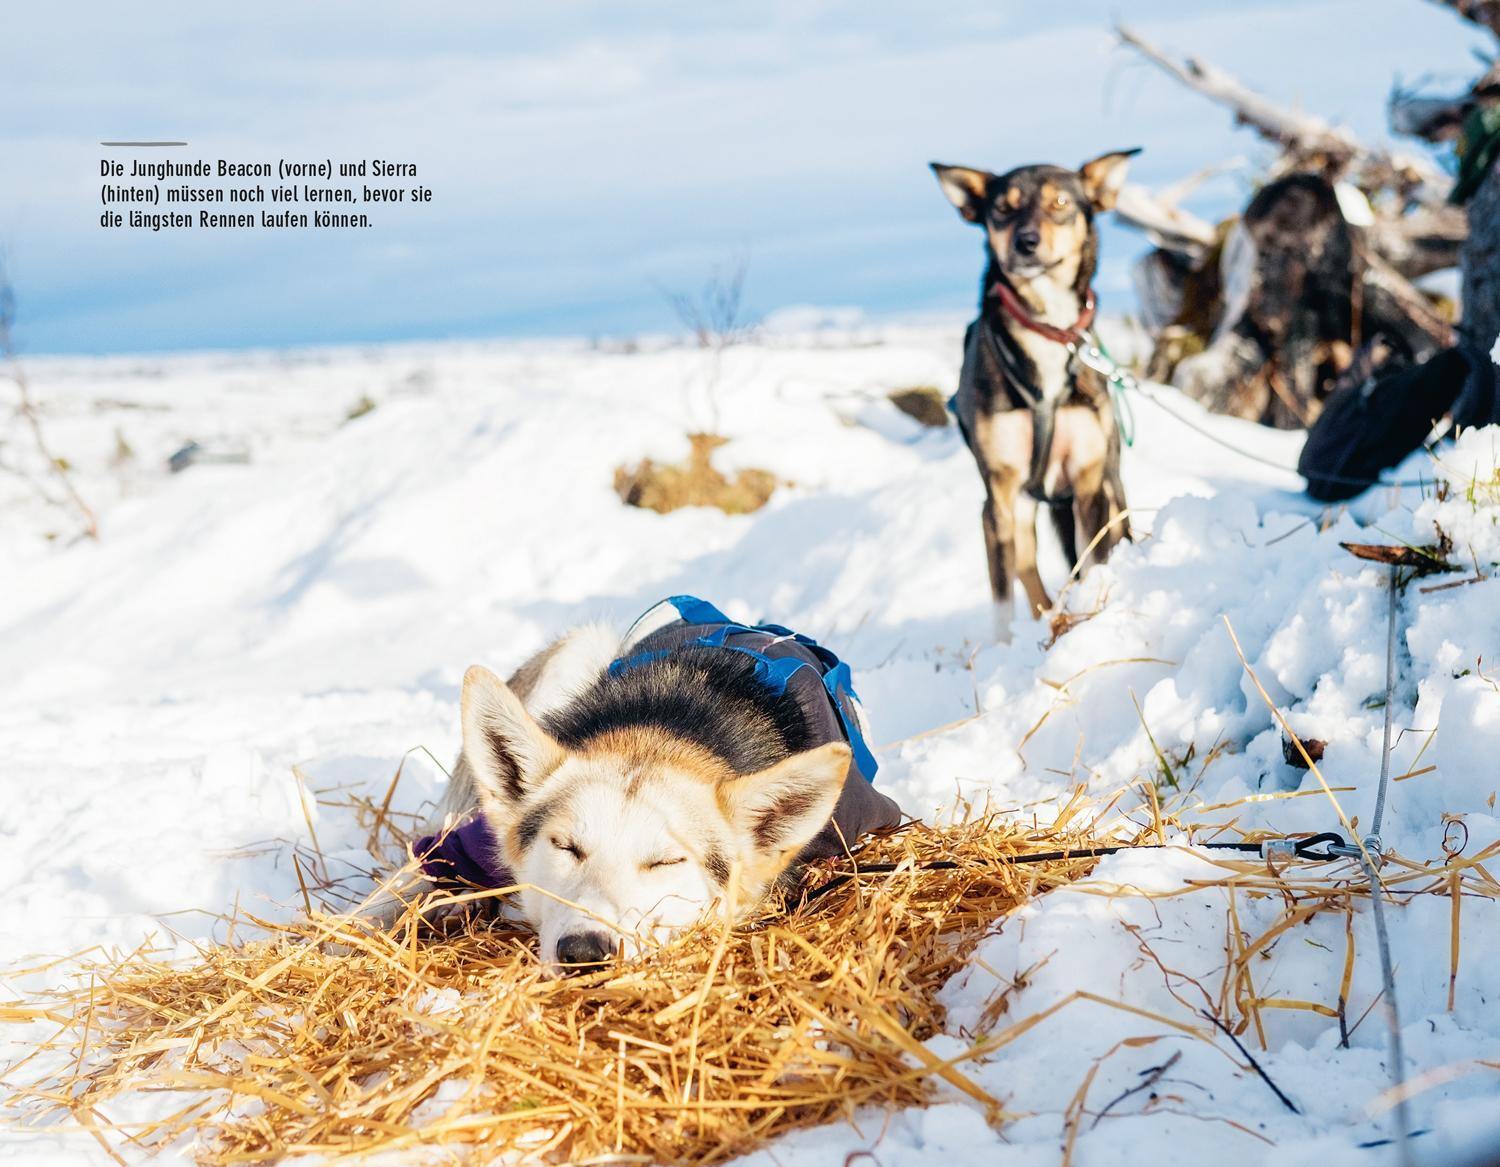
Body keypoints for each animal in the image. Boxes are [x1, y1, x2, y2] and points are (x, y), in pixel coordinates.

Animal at [924, 150, 1134, 636]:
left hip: (1111, 485)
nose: (1026, 242)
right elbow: (1004, 597)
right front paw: (1005, 647)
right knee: (1026, 568)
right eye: (1003, 209)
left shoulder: (1089, 481)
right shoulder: (999, 499)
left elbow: (1094, 560)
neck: (1047, 329)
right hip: (1019, 511)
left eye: (1061, 202)